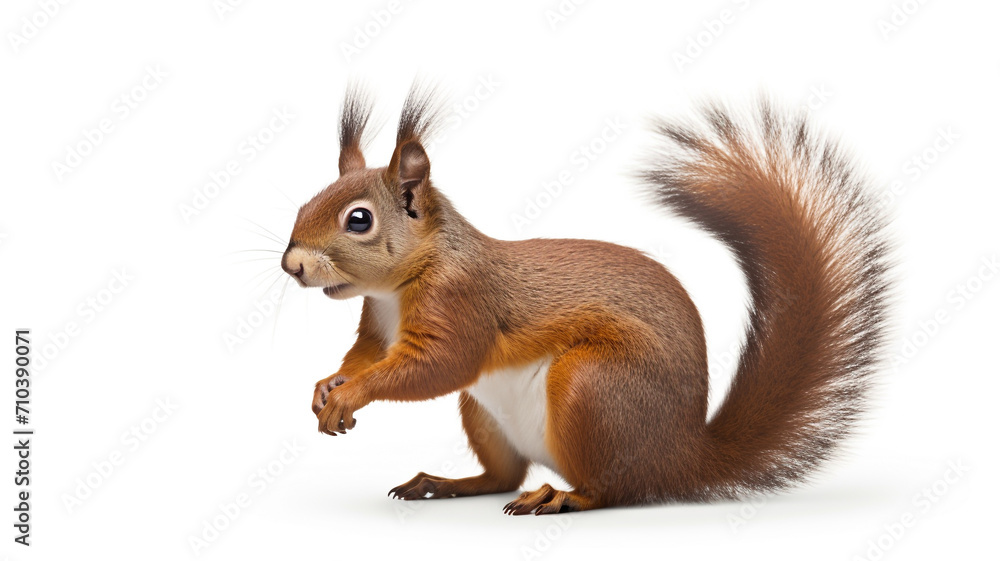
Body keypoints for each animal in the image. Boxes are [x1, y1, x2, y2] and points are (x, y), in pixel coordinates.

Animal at [280, 83, 891, 515]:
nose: (291, 265)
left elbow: (437, 366)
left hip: (590, 387)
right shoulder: (376, 324)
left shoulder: (461, 302)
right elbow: (366, 354)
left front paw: (351, 393)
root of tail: (682, 457)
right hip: (485, 412)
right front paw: (328, 384)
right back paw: (446, 483)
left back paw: (563, 496)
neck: (396, 289)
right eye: (306, 201)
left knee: (614, 490)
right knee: (502, 477)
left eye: (359, 219)